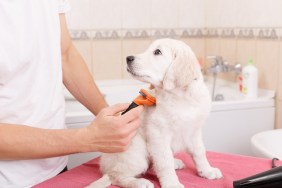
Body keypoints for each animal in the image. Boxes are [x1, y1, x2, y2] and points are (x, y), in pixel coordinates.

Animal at [87, 38, 224, 188]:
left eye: (157, 52)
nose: (128, 58)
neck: (180, 98)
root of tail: (105, 167)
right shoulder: (158, 135)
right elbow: (165, 162)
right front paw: (172, 183)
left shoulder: (194, 131)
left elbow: (199, 152)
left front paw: (207, 171)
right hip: (136, 151)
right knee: (115, 176)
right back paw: (138, 182)